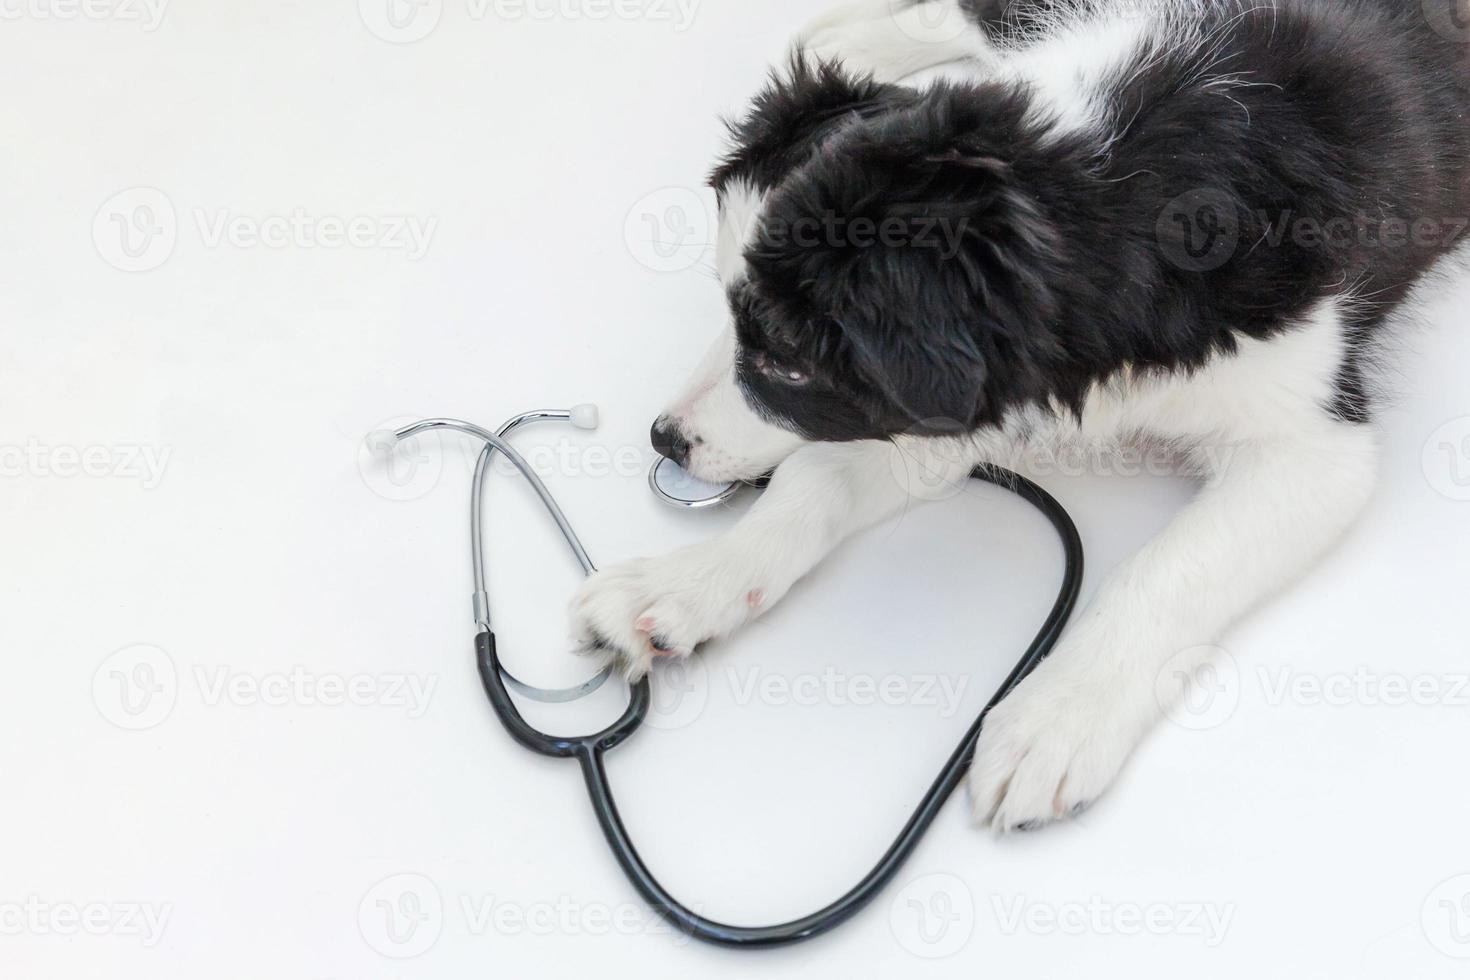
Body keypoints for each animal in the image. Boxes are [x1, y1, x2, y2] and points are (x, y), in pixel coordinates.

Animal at [570, 0, 1470, 834]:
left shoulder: (1310, 443)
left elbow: (1165, 568)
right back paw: (842, 42)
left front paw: (1056, 721)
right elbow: (815, 478)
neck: (1078, 180)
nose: (664, 437)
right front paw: (685, 584)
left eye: (786, 359)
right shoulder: (952, 389)